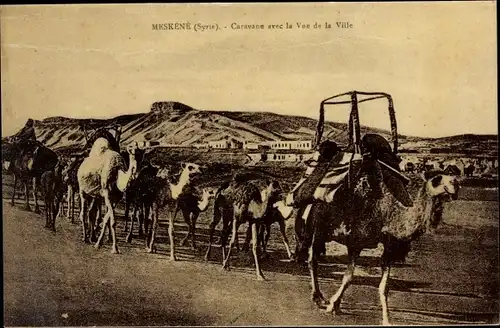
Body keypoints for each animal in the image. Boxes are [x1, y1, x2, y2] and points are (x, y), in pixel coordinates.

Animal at [294, 149, 458, 326]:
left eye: (451, 174)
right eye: (437, 179)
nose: (455, 184)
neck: (387, 214)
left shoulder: (389, 245)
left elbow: (384, 286)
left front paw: (386, 319)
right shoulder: (356, 242)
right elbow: (348, 277)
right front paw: (333, 305)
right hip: (318, 227)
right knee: (312, 259)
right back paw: (317, 297)